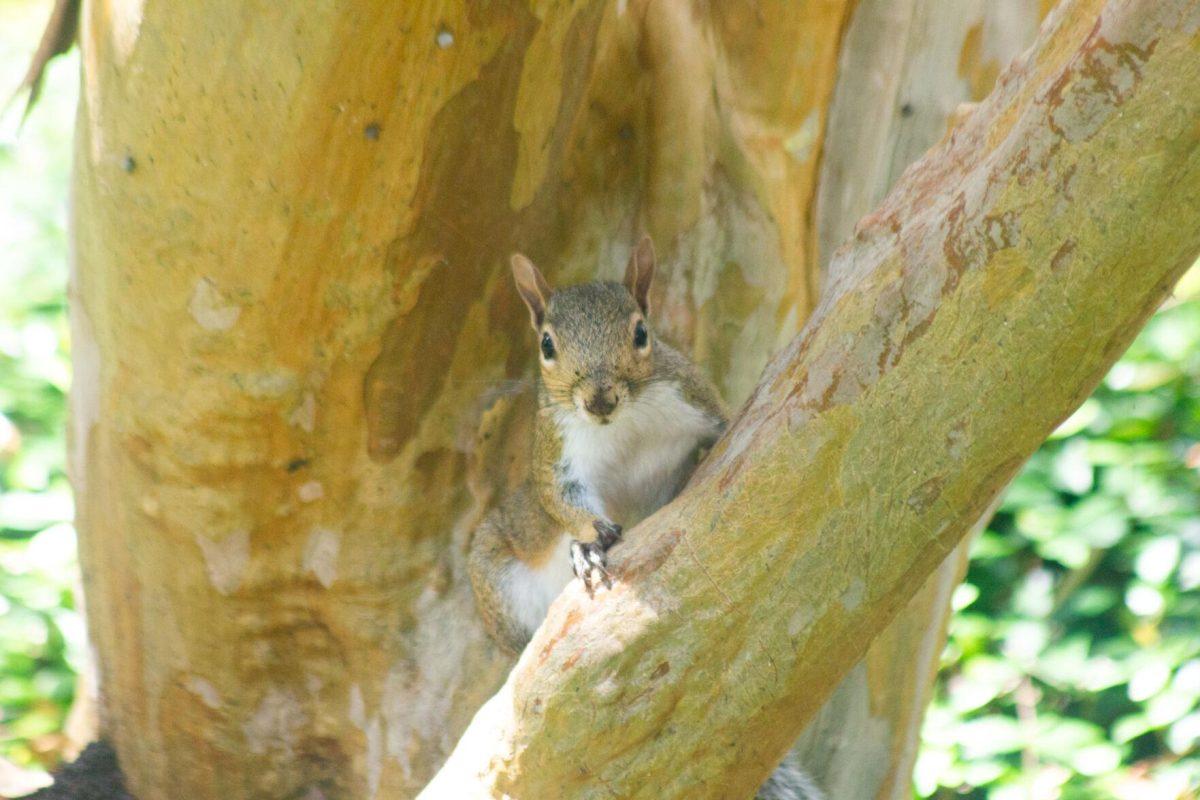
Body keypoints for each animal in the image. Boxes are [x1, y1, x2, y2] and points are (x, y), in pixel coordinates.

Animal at [463, 236, 820, 800]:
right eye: (546, 345)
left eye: (641, 333)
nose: (599, 400)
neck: (623, 424)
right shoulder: (558, 451)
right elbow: (560, 499)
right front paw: (588, 544)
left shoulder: (693, 398)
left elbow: (727, 427)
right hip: (496, 580)